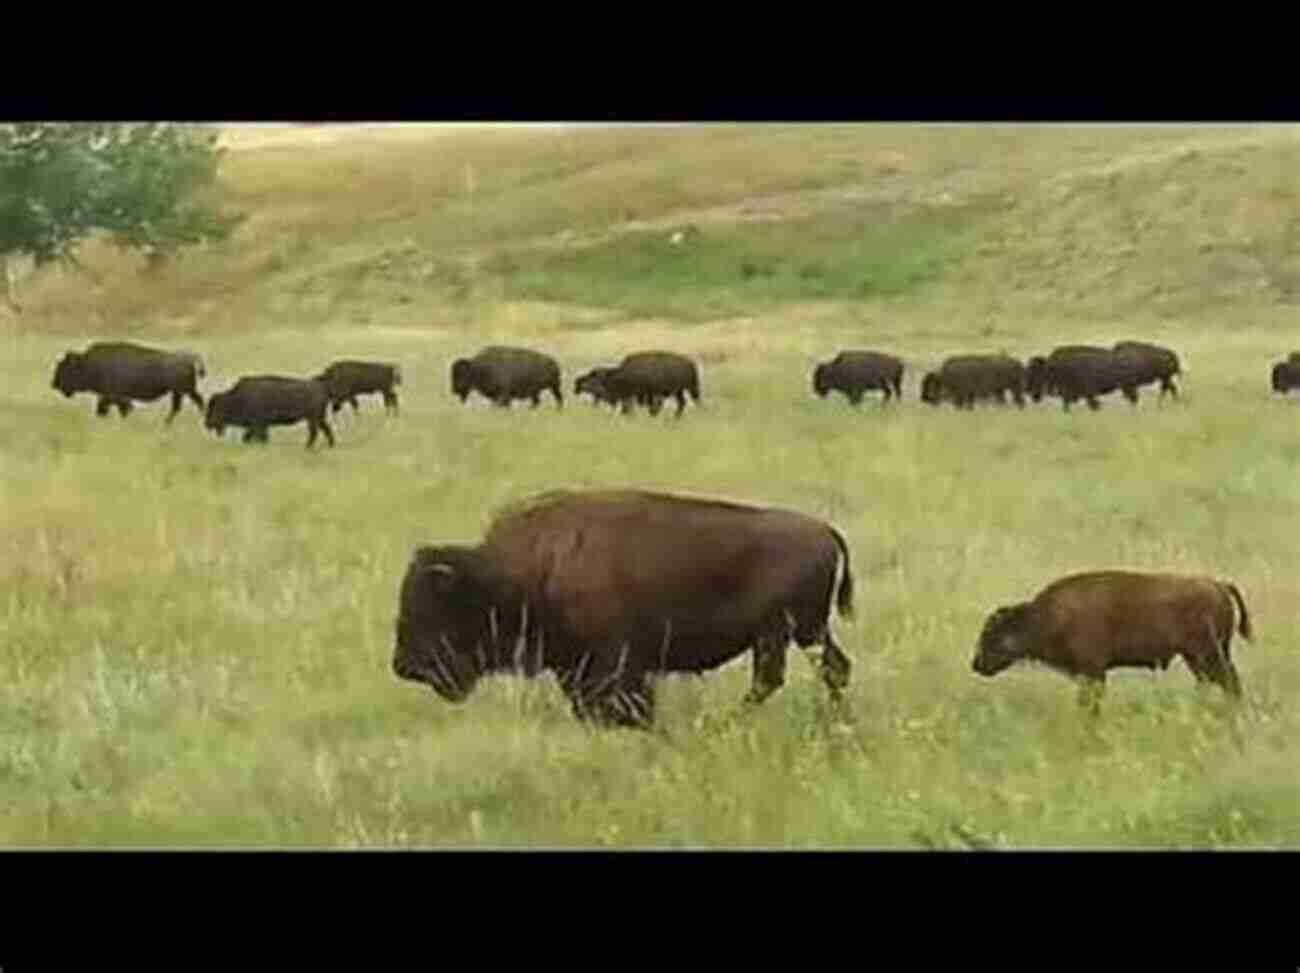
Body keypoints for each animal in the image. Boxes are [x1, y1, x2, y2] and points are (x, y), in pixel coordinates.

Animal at [52, 340, 206, 421]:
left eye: (65, 368)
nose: (54, 384)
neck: (87, 363)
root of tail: (190, 358)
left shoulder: (112, 397)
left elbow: (109, 409)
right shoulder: (114, 398)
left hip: (182, 391)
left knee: (185, 405)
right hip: (182, 391)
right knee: (186, 405)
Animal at [202, 377, 335, 447]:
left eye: (216, 408)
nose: (207, 424)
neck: (237, 398)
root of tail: (321, 387)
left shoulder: (259, 425)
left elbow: (258, 437)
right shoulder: (257, 426)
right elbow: (248, 437)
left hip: (312, 419)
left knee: (314, 432)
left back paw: (307, 447)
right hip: (318, 418)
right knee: (325, 429)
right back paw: (329, 445)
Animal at [390, 486, 857, 728]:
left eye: (433, 607)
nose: (404, 666)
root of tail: (826, 531)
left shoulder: (618, 663)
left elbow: (631, 704)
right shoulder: (576, 668)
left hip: (787, 632)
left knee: (775, 678)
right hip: (803, 632)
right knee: (831, 668)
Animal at [972, 569, 1253, 712]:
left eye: (991, 635)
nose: (976, 664)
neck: (1046, 615)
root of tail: (1217, 584)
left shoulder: (1093, 672)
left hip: (1208, 654)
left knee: (1230, 684)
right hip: (1197, 658)